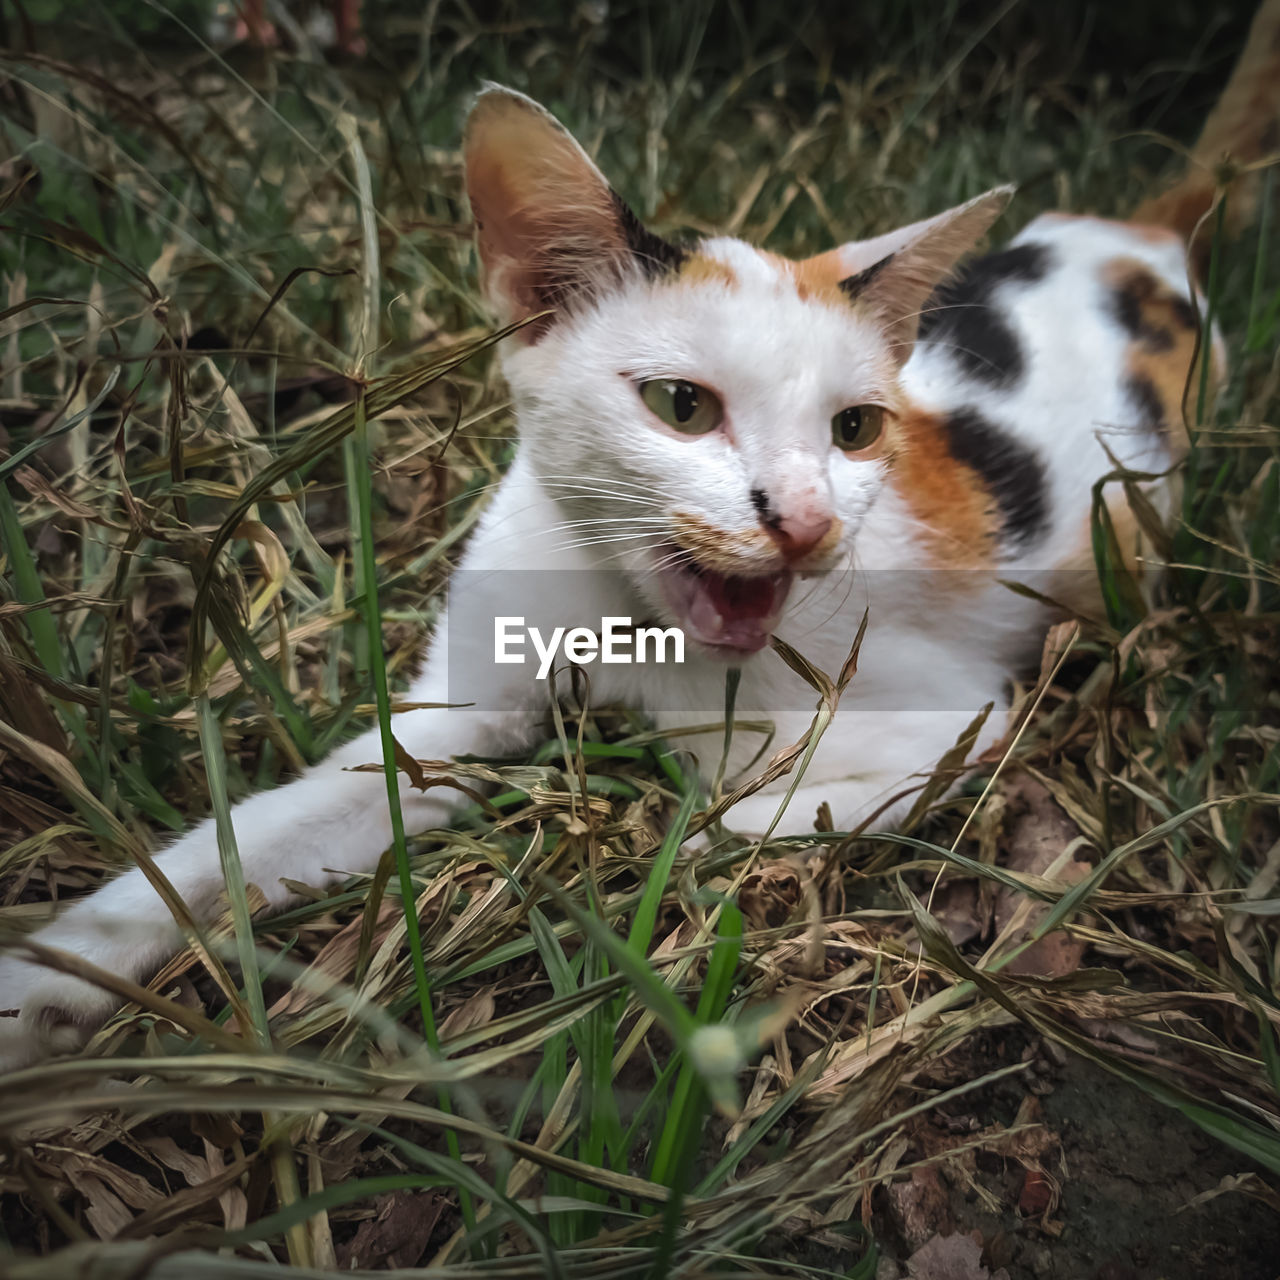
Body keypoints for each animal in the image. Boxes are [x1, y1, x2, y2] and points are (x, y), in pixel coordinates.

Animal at [0, 0, 1274, 1070]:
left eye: (856, 428)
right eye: (679, 405)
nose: (805, 521)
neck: (631, 622)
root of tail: (1138, 234)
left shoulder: (957, 709)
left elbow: (776, 802)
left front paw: (709, 815)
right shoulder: (452, 716)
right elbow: (236, 843)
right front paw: (45, 983)